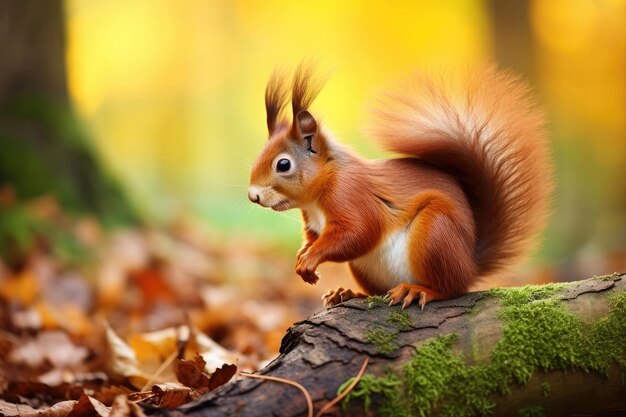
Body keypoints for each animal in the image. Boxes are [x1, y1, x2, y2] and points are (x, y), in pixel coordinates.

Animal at [246, 64, 548, 308]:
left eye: (283, 164)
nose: (253, 195)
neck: (319, 195)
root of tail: (470, 265)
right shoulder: (313, 223)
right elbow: (312, 238)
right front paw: (302, 257)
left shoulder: (352, 196)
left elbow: (358, 233)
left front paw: (310, 259)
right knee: (378, 291)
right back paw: (348, 293)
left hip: (435, 233)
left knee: (450, 288)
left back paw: (418, 291)